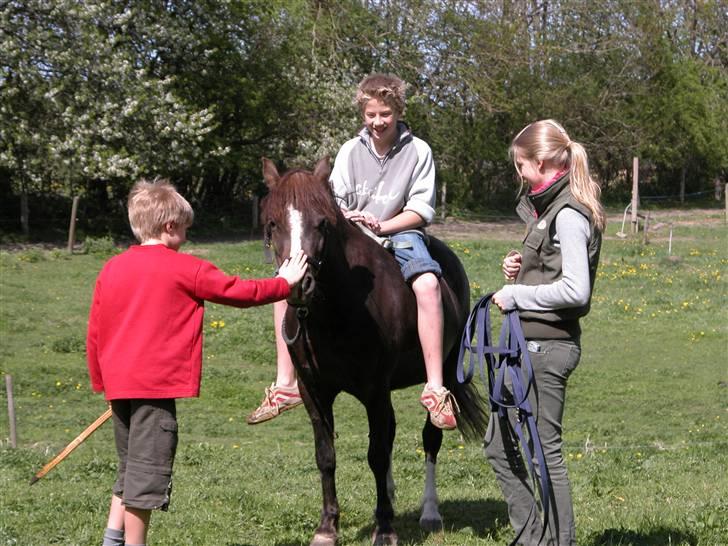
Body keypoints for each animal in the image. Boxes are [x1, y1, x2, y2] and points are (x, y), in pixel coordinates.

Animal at [258, 157, 486, 544]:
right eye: (272, 223)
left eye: (323, 222)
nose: (299, 284)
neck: (335, 312)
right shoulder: (315, 391)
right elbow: (326, 456)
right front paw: (327, 527)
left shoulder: (375, 390)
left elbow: (377, 454)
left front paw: (385, 528)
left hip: (440, 371)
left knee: (430, 439)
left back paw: (430, 512)